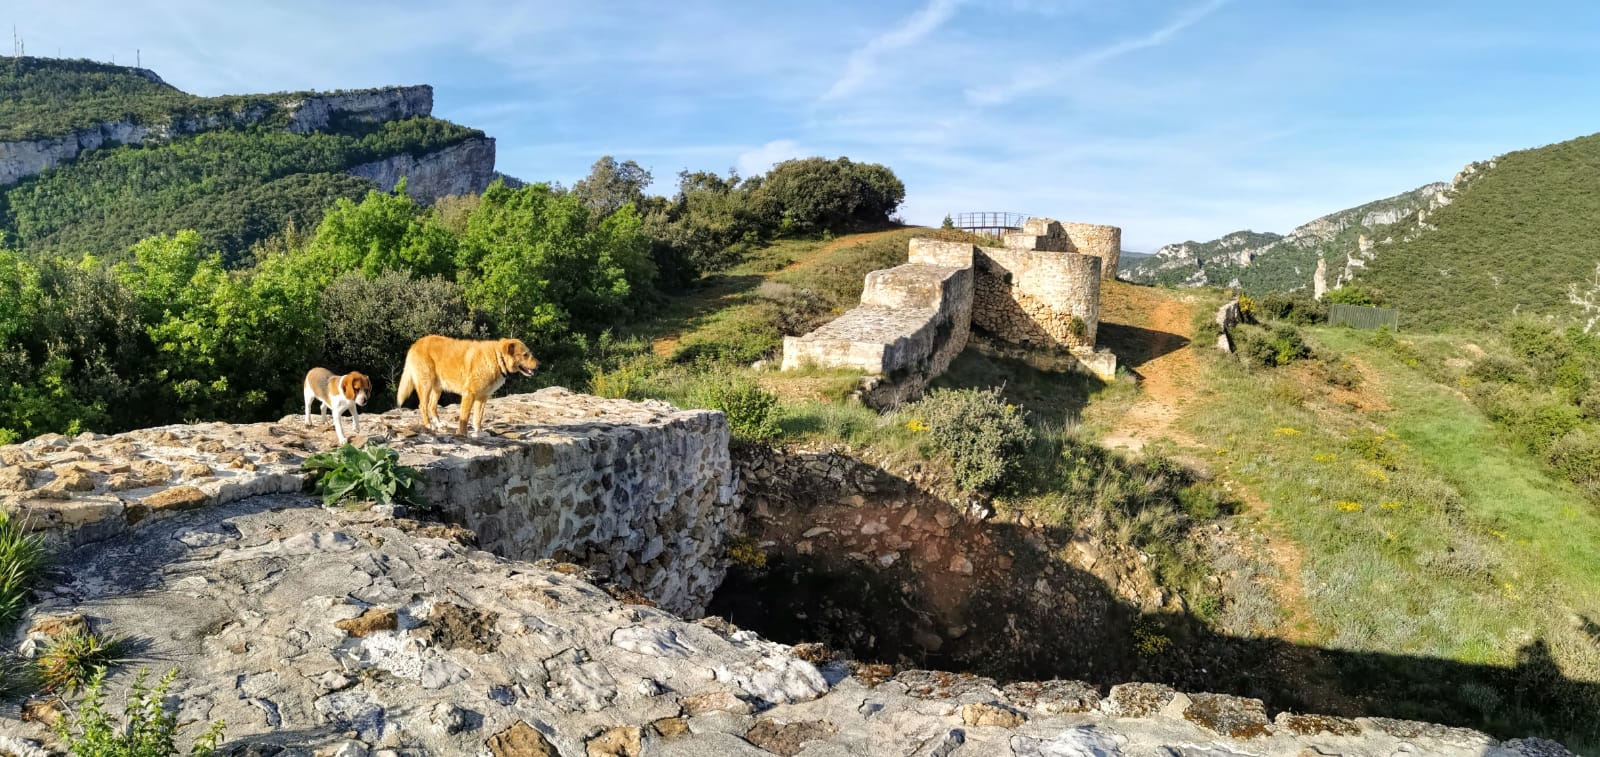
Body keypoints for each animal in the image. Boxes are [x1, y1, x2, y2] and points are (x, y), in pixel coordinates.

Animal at [393, 336, 537, 435]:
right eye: (525, 355)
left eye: (529, 353)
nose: (539, 364)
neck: (497, 358)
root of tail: (416, 343)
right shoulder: (469, 394)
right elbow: (465, 417)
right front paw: (462, 434)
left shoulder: (482, 397)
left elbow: (478, 418)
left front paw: (479, 433)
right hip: (426, 384)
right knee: (423, 406)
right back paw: (429, 425)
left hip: (438, 387)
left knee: (431, 406)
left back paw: (439, 424)